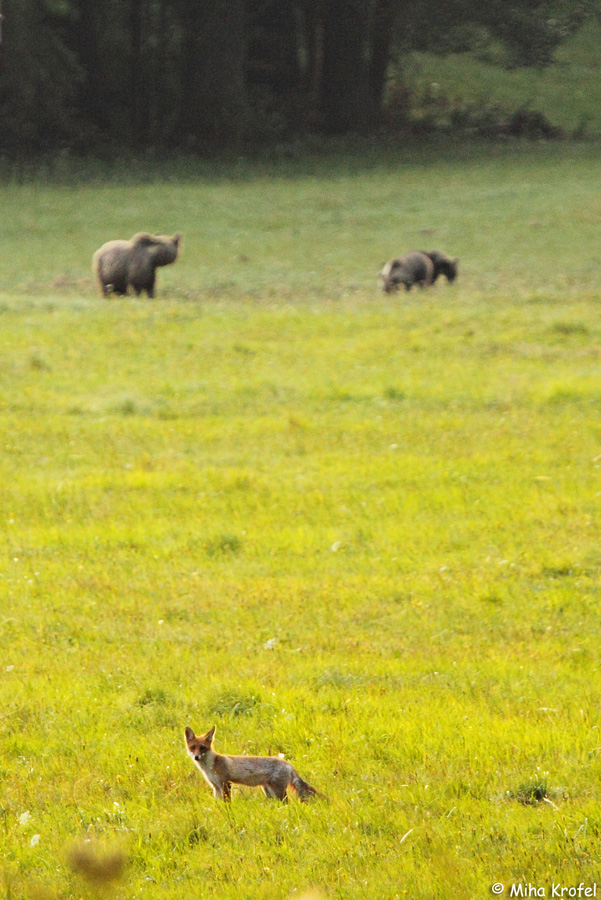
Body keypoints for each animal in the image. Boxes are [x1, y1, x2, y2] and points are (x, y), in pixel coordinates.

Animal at [185, 724, 324, 800]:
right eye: (193, 747)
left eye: (202, 748)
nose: (196, 757)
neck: (211, 765)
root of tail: (288, 764)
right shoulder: (216, 787)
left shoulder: (225, 784)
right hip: (268, 791)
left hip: (278, 792)